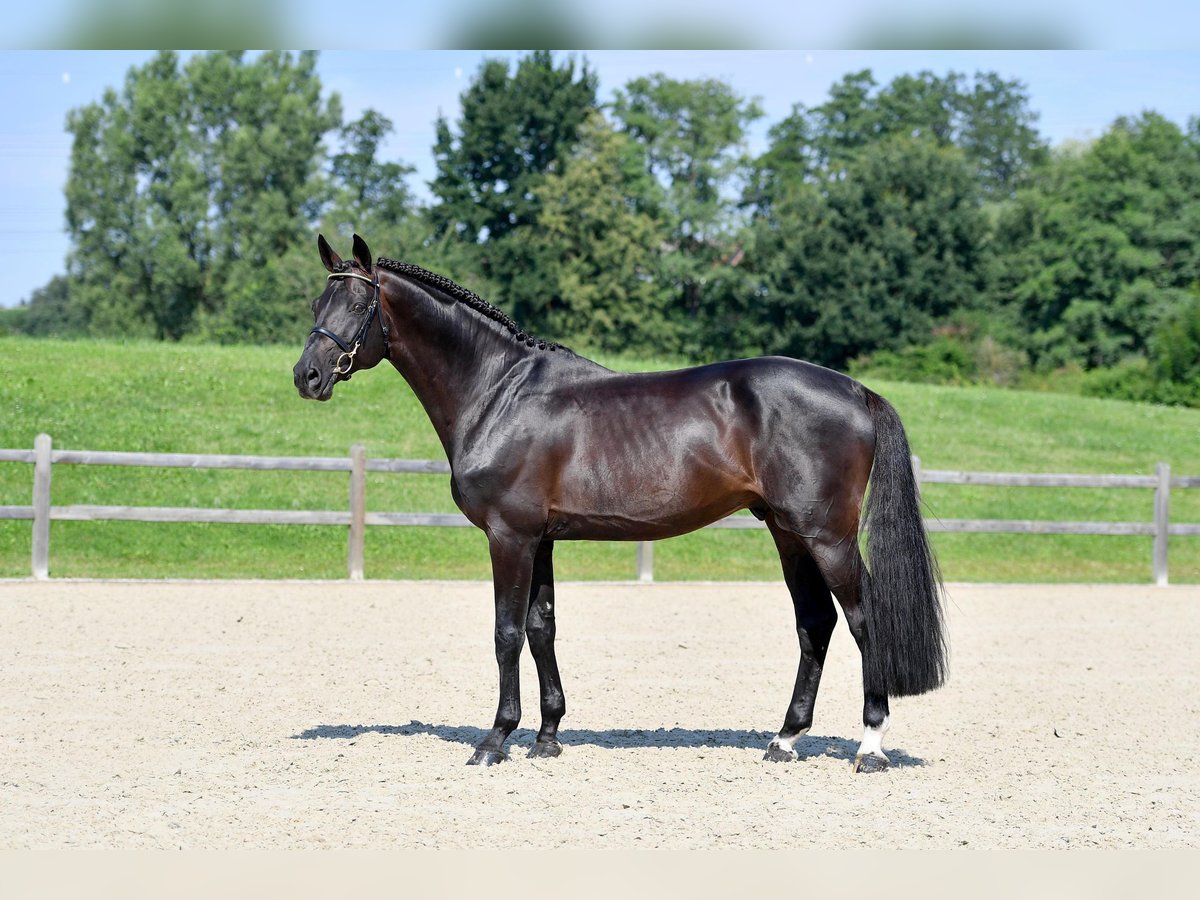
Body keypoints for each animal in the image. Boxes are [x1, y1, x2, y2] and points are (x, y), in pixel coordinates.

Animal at [292, 234, 945, 777]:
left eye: (358, 305)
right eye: (317, 304)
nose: (307, 376)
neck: (500, 392)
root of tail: (856, 390)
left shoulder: (509, 536)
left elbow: (506, 632)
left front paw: (495, 740)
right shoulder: (541, 538)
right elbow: (542, 628)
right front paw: (548, 737)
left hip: (827, 536)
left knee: (862, 619)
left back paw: (870, 747)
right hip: (788, 533)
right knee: (815, 623)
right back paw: (784, 740)